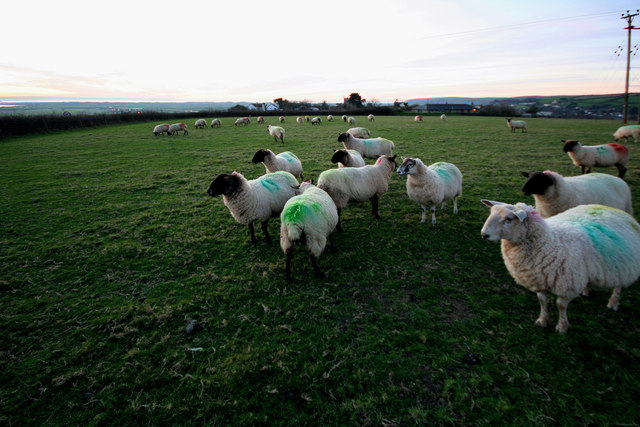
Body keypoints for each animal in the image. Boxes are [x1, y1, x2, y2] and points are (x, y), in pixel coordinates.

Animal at [480, 201, 640, 334]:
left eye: (509, 219)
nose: (484, 235)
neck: (549, 242)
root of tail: (617, 210)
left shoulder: (567, 283)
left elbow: (561, 305)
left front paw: (562, 327)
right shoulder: (538, 278)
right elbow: (542, 300)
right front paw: (542, 321)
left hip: (624, 264)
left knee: (619, 285)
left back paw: (613, 302)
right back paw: (587, 290)